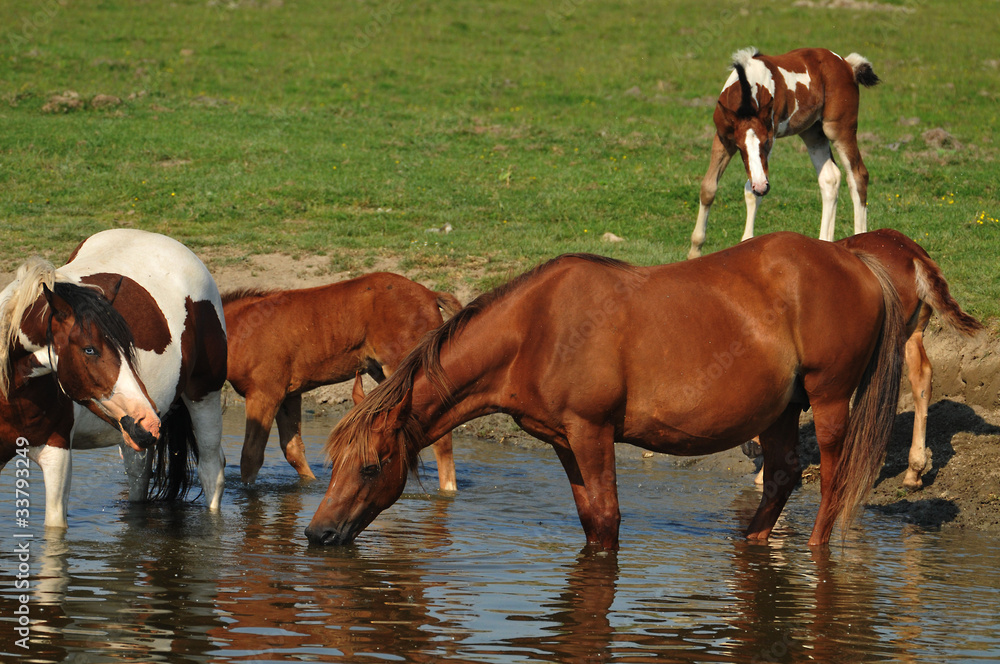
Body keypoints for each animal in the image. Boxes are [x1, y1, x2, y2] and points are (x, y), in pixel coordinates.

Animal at [0, 229, 228, 528]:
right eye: (89, 349)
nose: (147, 419)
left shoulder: (57, 453)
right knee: (139, 473)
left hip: (204, 396)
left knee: (211, 470)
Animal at [223, 273, 462, 488]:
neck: (244, 330)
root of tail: (431, 295)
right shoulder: (289, 395)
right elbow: (293, 451)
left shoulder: (264, 394)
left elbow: (251, 456)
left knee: (442, 440)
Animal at [306, 232, 907, 550]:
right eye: (332, 464)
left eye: (371, 467)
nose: (317, 533)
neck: (537, 329)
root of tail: (854, 260)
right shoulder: (563, 441)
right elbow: (593, 522)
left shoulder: (593, 433)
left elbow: (611, 519)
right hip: (779, 411)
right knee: (782, 475)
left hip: (827, 401)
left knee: (831, 483)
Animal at [688, 47, 880, 259]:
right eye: (740, 147)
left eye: (766, 143)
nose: (761, 186)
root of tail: (846, 63)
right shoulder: (723, 140)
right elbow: (708, 188)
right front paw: (694, 252)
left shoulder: (770, 135)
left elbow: (752, 193)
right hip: (813, 133)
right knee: (830, 178)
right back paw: (824, 244)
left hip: (839, 129)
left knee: (858, 176)